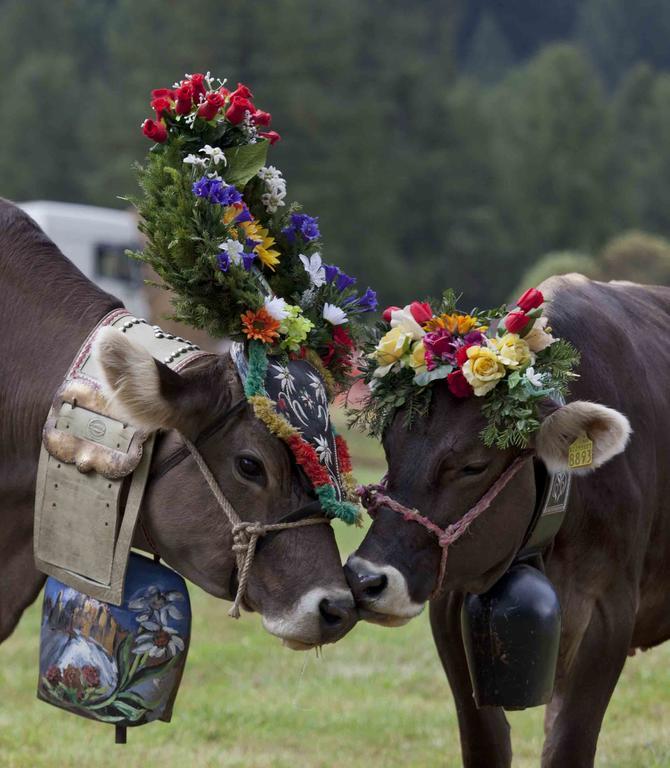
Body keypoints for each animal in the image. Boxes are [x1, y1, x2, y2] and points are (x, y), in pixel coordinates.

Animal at [344, 278, 668, 768]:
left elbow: (568, 745)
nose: (366, 580)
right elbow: (486, 742)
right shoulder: (452, 604)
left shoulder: (609, 613)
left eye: (473, 466)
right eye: (388, 444)